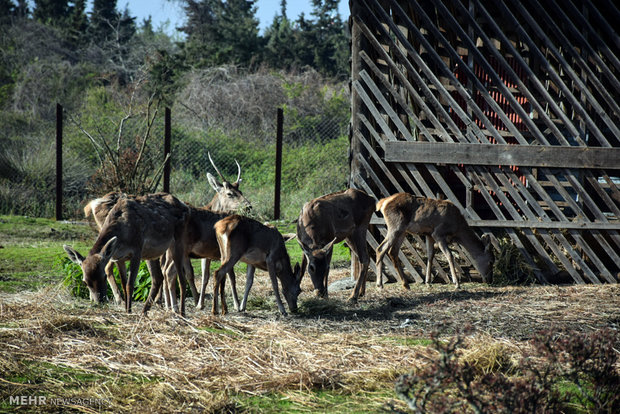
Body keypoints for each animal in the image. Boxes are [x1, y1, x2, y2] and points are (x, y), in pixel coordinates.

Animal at [62, 193, 190, 314]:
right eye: (85, 281)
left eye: (103, 276)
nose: (100, 301)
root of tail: (184, 205)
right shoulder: (118, 257)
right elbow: (124, 284)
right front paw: (127, 310)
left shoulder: (137, 250)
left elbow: (130, 284)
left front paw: (129, 311)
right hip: (151, 253)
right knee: (158, 277)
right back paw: (144, 312)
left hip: (178, 241)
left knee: (181, 279)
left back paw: (182, 314)